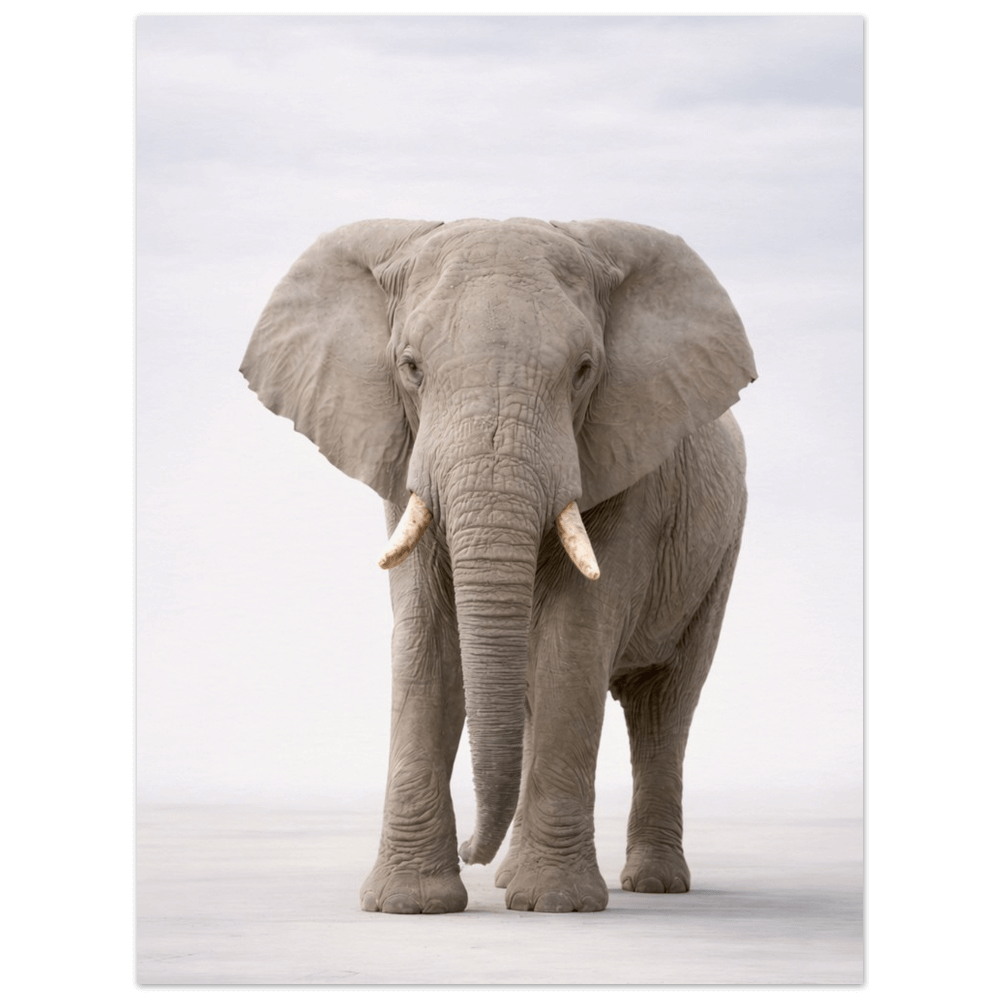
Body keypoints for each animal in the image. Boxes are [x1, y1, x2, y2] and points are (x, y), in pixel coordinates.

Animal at [241, 218, 756, 914]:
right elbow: (426, 639)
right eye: (410, 368)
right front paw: (410, 905)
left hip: (720, 551)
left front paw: (556, 905)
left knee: (663, 705)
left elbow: (573, 641)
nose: (469, 852)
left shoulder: (626, 468)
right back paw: (516, 877)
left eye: (584, 371)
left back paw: (654, 885)